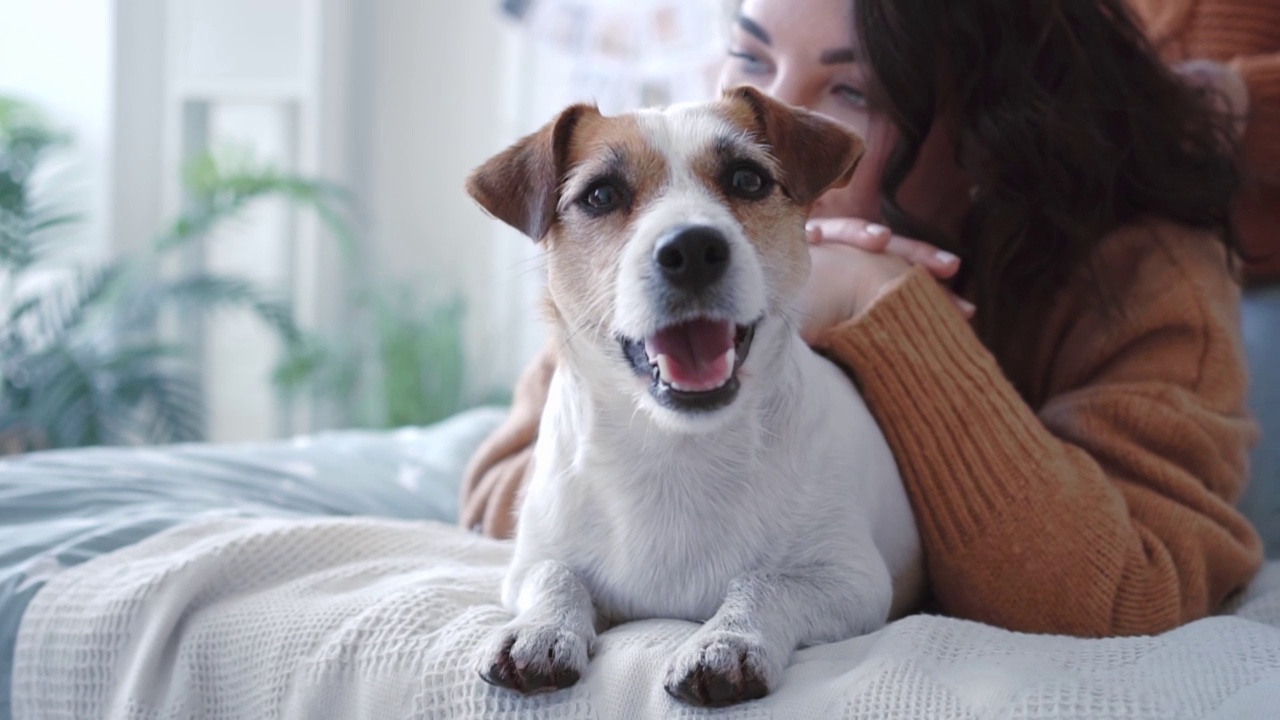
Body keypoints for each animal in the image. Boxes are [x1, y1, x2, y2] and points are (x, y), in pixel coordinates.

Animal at [468, 85, 921, 707]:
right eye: (601, 194)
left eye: (748, 179)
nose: (692, 248)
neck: (676, 447)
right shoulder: (530, 563)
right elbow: (554, 575)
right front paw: (540, 629)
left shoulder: (856, 582)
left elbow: (765, 580)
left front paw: (727, 641)